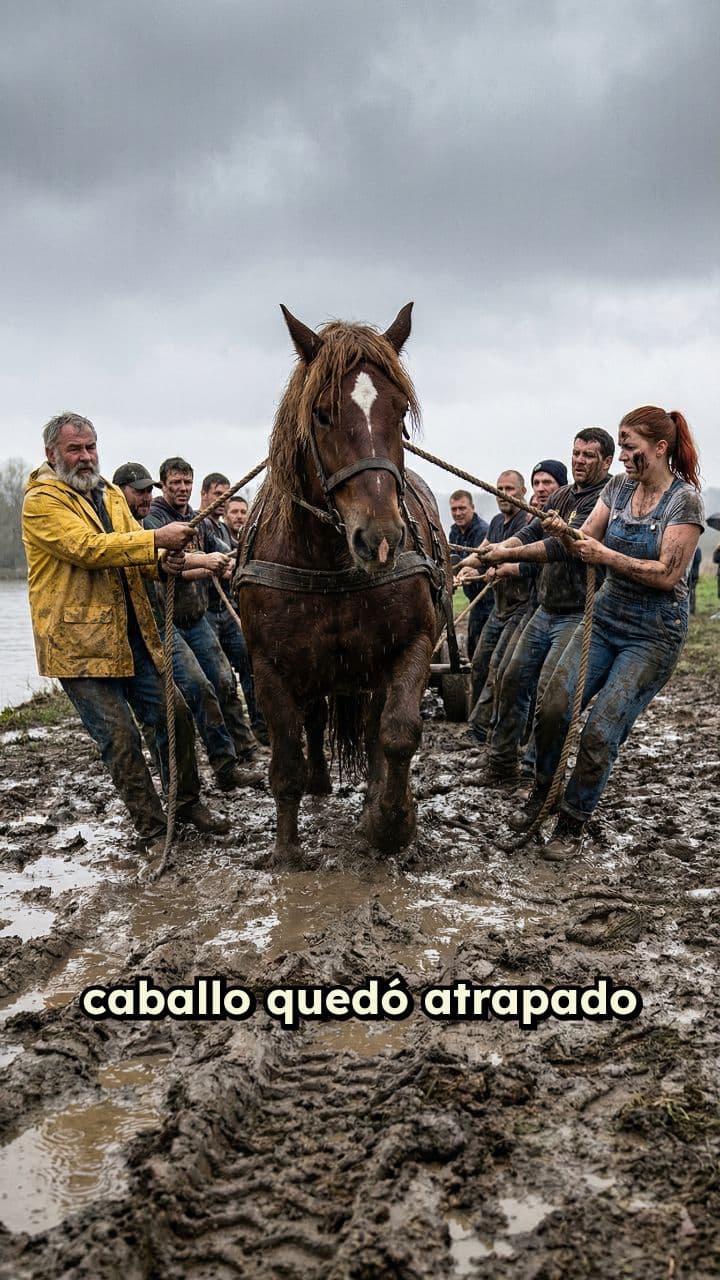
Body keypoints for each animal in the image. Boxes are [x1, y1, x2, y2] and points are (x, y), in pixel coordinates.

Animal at [235, 303, 456, 865]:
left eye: (400, 413)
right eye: (321, 414)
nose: (380, 538)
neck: (331, 563)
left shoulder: (412, 643)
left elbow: (397, 733)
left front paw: (390, 821)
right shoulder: (269, 665)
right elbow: (286, 757)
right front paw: (287, 850)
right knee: (313, 719)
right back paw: (318, 781)